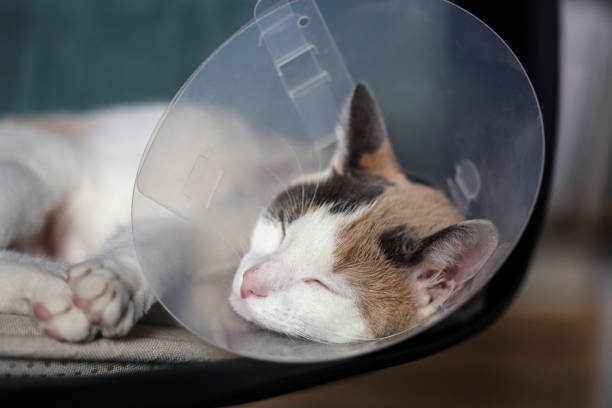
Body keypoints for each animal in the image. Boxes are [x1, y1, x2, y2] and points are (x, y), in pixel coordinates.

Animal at [0, 83, 494, 344]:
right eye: (283, 228)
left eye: (321, 285)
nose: (250, 283)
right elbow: (154, 249)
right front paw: (113, 286)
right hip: (38, 175)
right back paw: (57, 290)